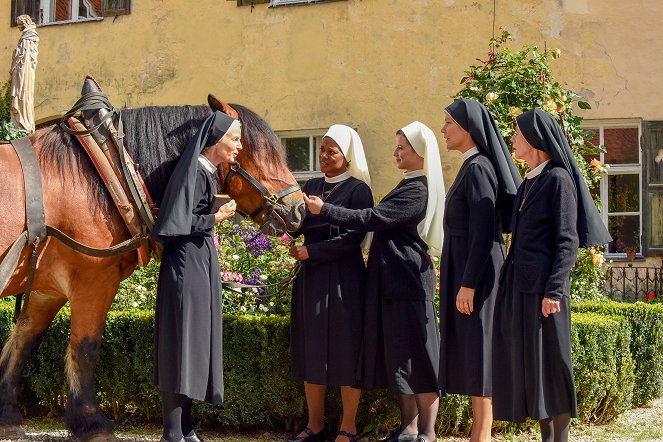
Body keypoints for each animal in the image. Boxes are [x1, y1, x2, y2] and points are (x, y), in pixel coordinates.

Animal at [0, 95, 304, 440]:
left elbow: (24, 342)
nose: (299, 209)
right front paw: (91, 421)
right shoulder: (93, 281)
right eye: (257, 150)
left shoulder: (45, 289)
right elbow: (86, 348)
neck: (101, 171)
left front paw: (8, 415)